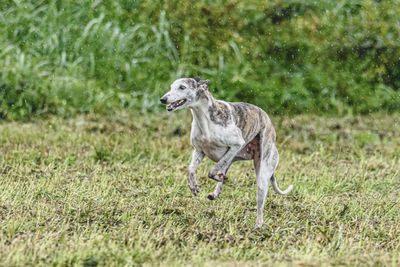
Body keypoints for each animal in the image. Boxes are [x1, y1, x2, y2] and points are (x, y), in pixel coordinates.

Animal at [159, 76, 294, 227]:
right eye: (171, 87)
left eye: (182, 87)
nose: (163, 99)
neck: (205, 119)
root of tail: (267, 118)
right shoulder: (199, 151)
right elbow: (191, 169)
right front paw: (193, 186)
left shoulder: (236, 144)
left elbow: (211, 171)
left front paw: (214, 177)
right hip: (231, 160)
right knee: (222, 172)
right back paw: (216, 191)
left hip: (262, 173)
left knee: (260, 202)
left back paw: (258, 225)